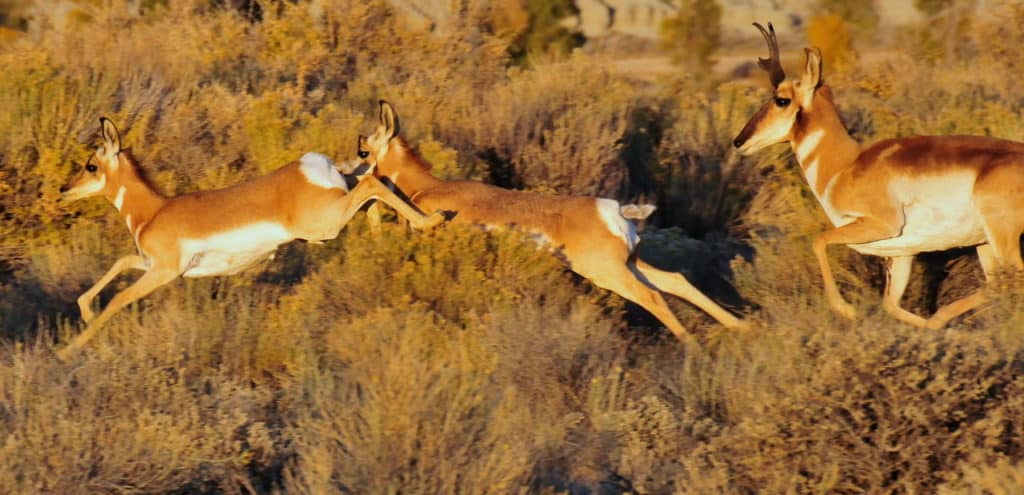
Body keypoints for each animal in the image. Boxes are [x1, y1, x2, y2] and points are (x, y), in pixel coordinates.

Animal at [56, 119, 440, 360]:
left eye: (91, 165)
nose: (64, 189)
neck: (155, 210)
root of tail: (311, 165)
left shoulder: (162, 272)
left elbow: (119, 298)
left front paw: (68, 350)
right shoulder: (150, 264)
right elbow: (120, 262)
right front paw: (85, 311)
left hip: (324, 225)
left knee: (373, 183)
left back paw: (431, 222)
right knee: (374, 184)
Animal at [356, 102, 749, 338]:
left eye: (363, 150)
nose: (351, 173)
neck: (428, 186)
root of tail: (610, 209)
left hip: (610, 274)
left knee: (653, 298)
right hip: (631, 265)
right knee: (676, 282)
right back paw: (742, 328)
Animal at [733, 23, 1024, 330]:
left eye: (781, 100)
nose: (738, 141)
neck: (846, 165)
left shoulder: (878, 225)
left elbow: (819, 240)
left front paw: (846, 310)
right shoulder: (902, 255)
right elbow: (890, 305)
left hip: (999, 238)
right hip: (984, 244)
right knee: (996, 284)